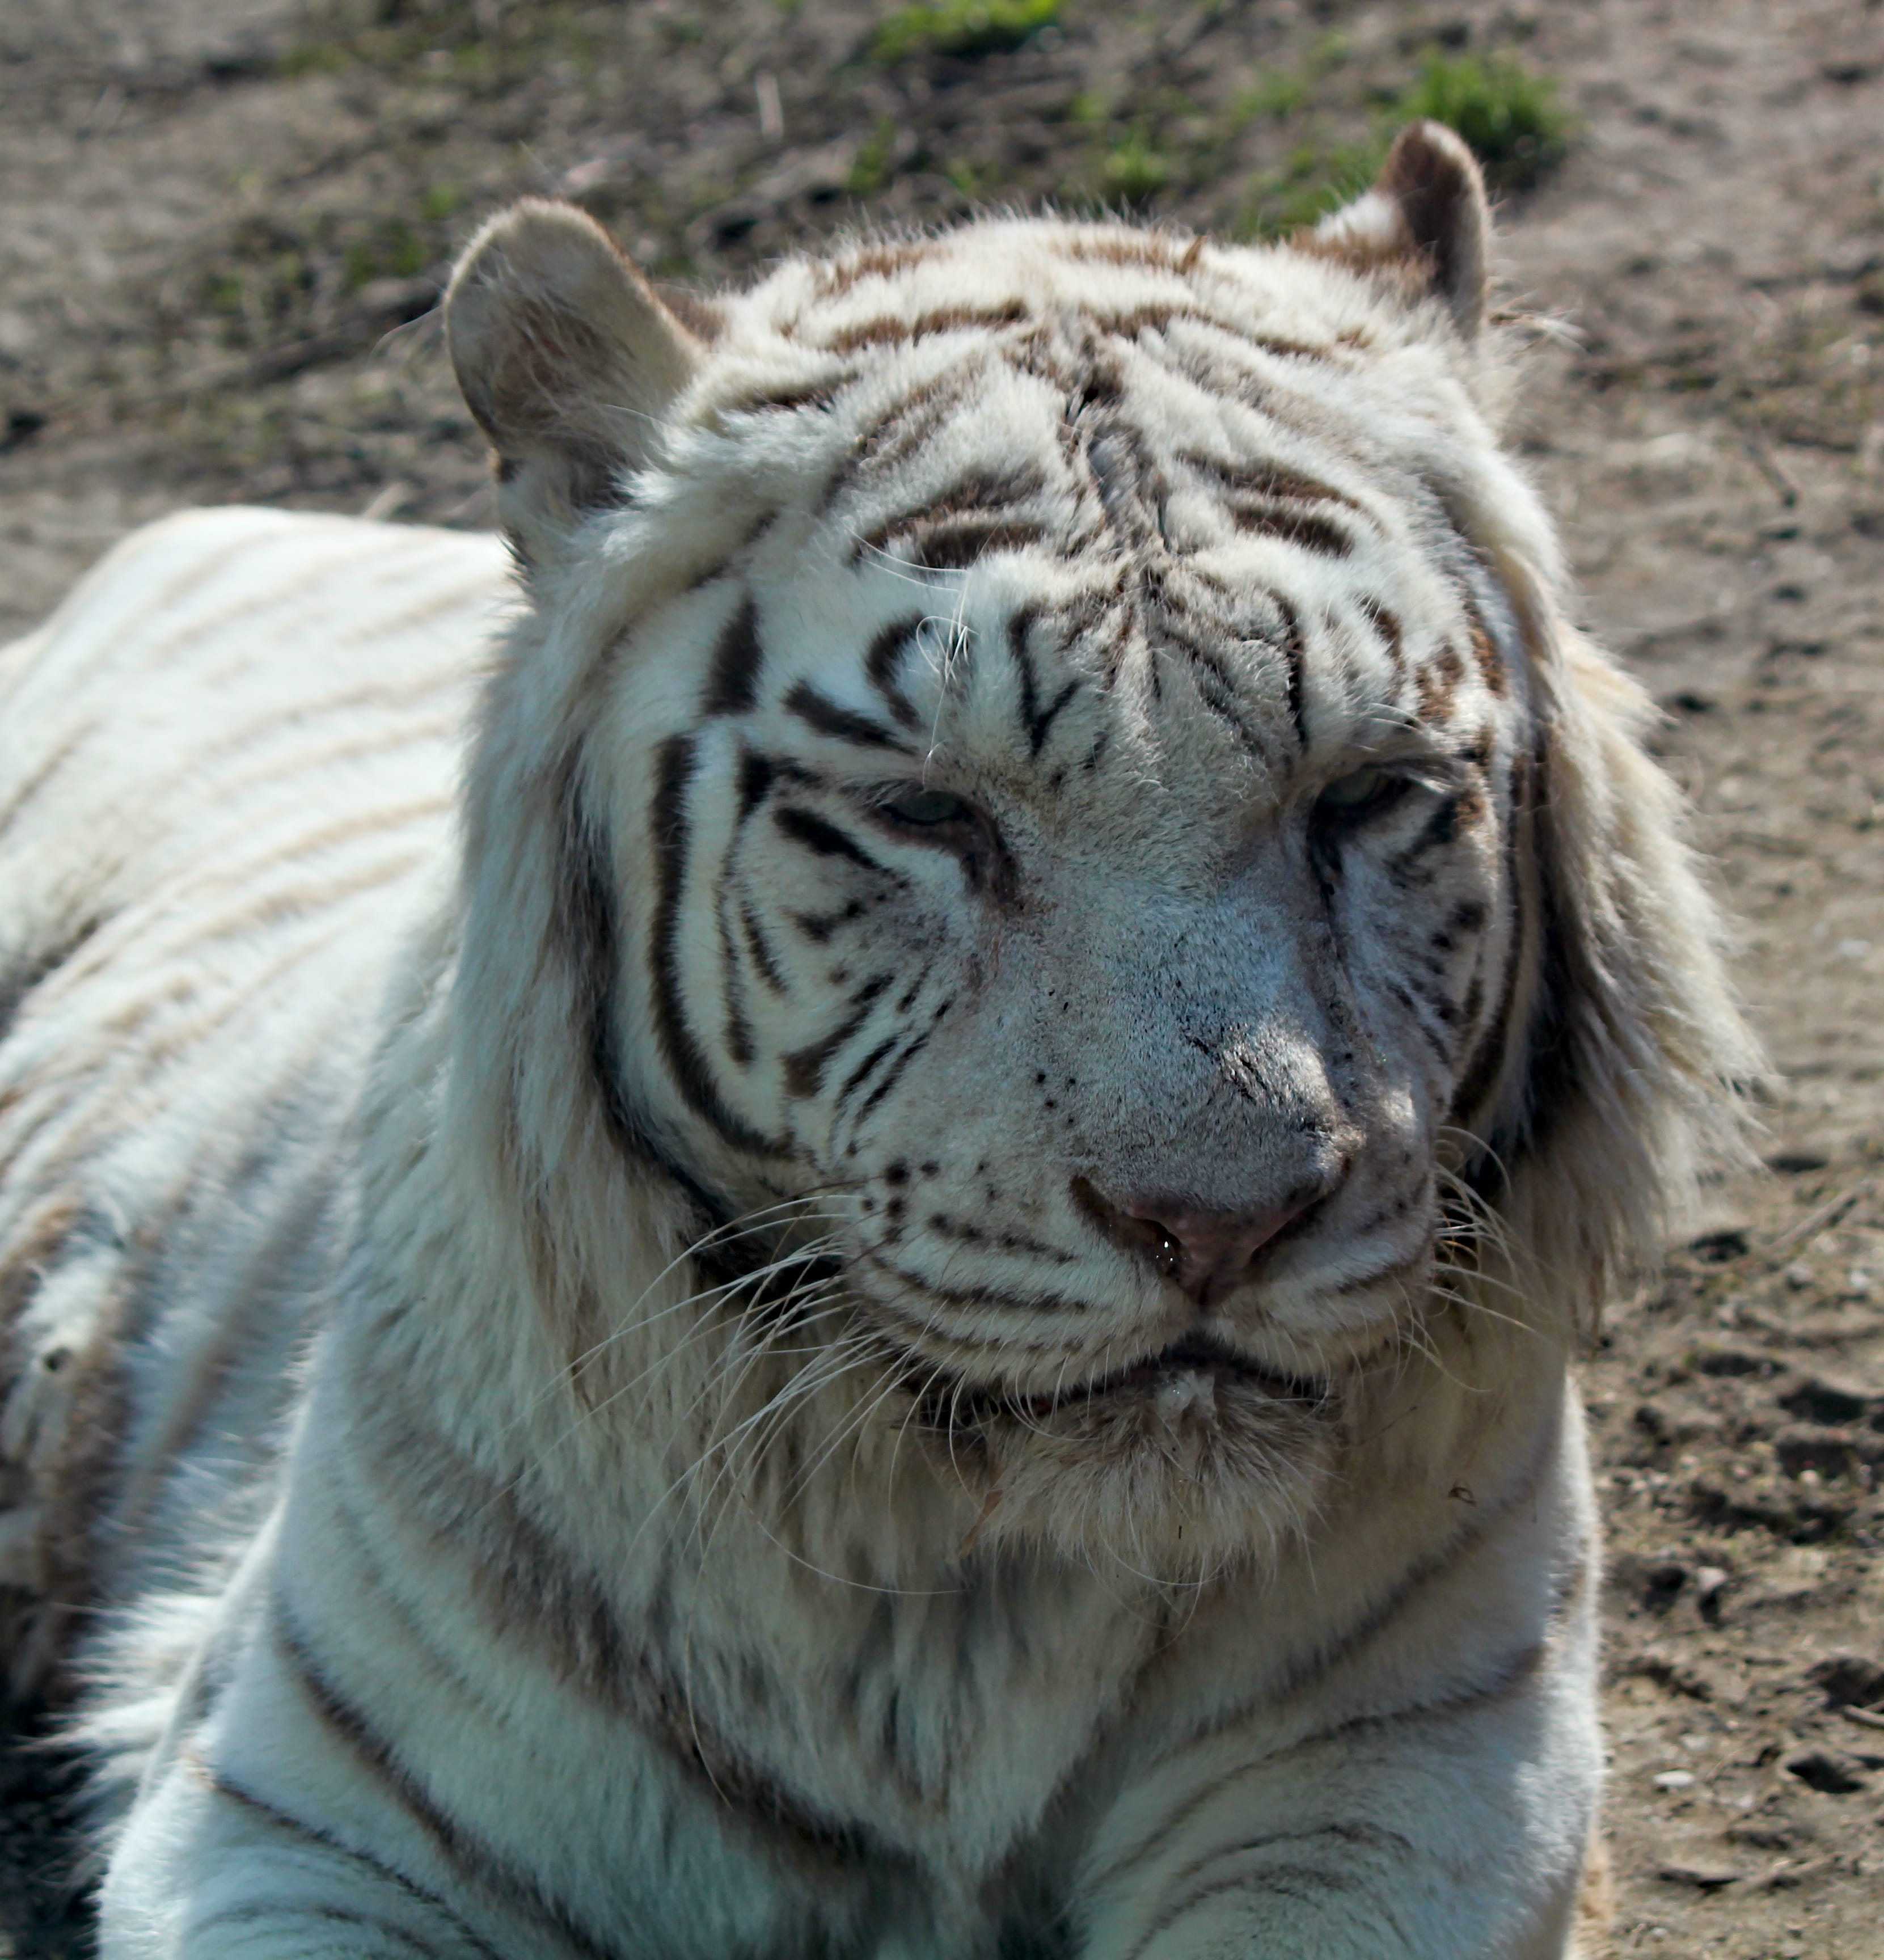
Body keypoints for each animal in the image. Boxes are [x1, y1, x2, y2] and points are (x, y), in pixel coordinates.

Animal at [0, 121, 1751, 1959]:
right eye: (926, 814)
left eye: (1369, 794)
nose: (1219, 1226)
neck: (968, 1608)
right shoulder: (299, 1806)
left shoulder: (1410, 1769)